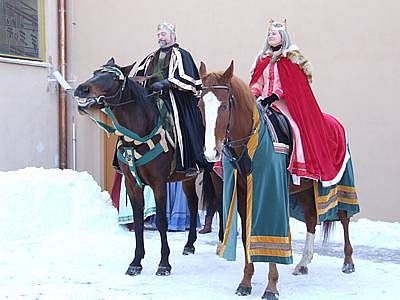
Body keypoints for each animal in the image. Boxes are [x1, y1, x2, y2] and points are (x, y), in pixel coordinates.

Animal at [73, 58, 223, 276]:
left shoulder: (158, 184)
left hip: (216, 172)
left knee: (220, 203)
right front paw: (136, 262)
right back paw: (189, 244)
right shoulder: (132, 184)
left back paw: (221, 241)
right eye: (95, 73)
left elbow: (161, 221)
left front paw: (164, 263)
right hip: (188, 177)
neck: (138, 134)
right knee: (194, 203)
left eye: (112, 78)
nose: (82, 89)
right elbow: (137, 221)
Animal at [198, 60, 358, 298]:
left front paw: (271, 286)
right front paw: (245, 282)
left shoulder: (272, 189)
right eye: (200, 105)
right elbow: (246, 236)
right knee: (311, 218)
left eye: (224, 106)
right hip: (305, 189)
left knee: (344, 216)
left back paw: (348, 261)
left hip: (338, 185)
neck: (250, 141)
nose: (211, 153)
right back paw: (303, 263)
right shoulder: (243, 193)